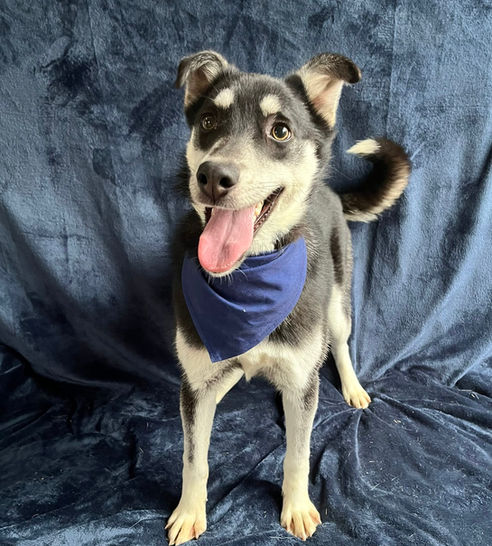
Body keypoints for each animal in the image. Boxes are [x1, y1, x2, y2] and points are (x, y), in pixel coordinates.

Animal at [166, 51, 410, 544]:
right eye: (208, 121)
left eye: (280, 130)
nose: (212, 176)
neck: (249, 275)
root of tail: (331, 192)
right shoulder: (194, 385)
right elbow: (194, 457)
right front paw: (189, 512)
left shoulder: (302, 380)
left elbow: (298, 453)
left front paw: (296, 506)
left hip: (337, 304)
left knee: (339, 345)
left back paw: (352, 387)